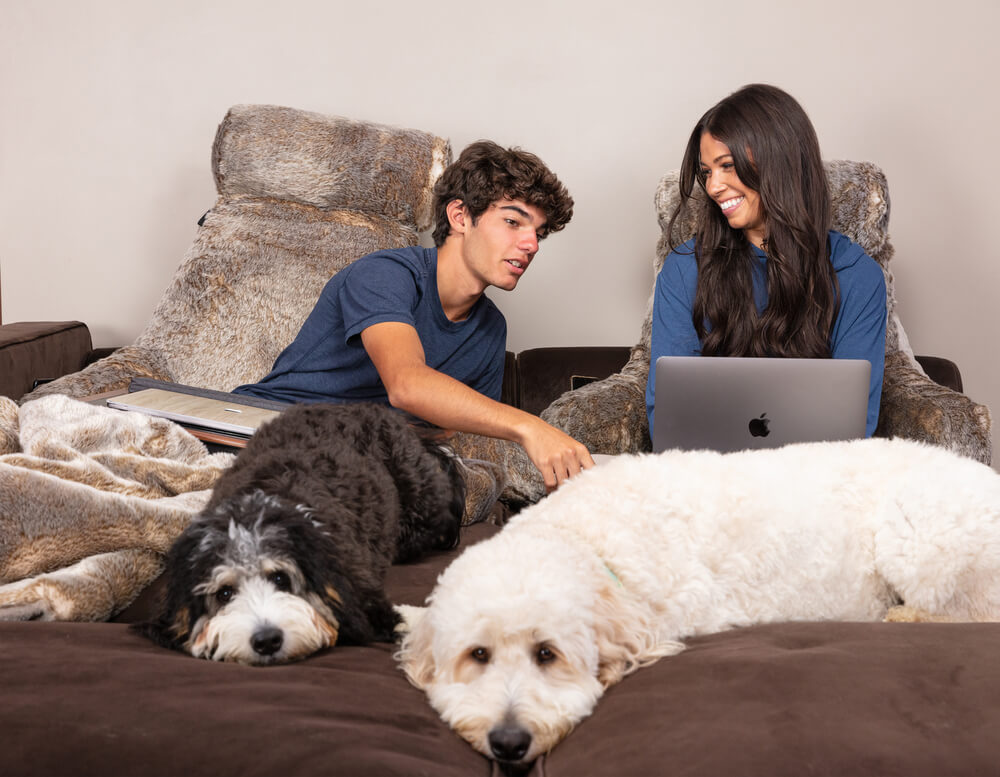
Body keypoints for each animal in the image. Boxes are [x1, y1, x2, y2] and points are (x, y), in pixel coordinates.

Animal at [394, 436, 1000, 764]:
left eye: (547, 654)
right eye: (477, 656)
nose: (508, 741)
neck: (586, 538)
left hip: (917, 539)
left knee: (975, 613)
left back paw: (904, 614)